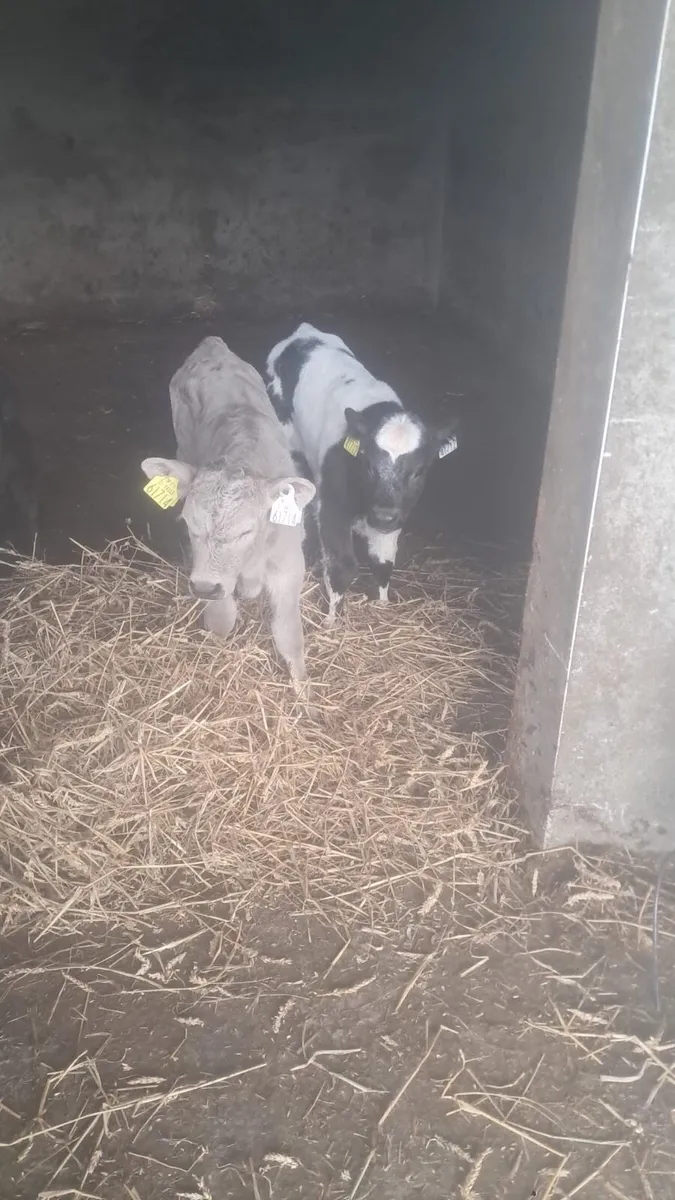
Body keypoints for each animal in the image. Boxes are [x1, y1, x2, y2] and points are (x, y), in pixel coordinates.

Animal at [141, 336, 316, 687]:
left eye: (246, 529)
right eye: (190, 525)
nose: (203, 588)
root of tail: (211, 345)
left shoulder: (289, 564)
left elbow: (289, 635)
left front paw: (305, 695)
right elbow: (222, 619)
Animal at [266, 323, 458, 624]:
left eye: (419, 472)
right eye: (368, 465)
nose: (383, 515)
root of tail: (303, 331)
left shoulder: (396, 515)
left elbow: (383, 561)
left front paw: (382, 604)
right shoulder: (331, 508)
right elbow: (342, 564)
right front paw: (332, 621)